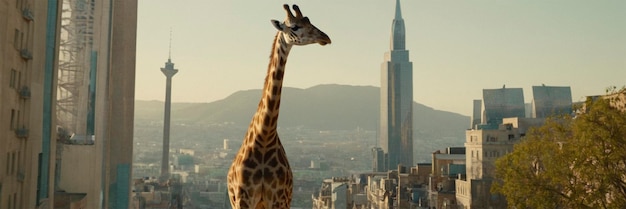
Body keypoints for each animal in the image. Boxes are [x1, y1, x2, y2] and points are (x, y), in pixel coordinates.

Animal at [225, 3, 332, 209]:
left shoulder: (278, 198)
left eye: (309, 21)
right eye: (294, 26)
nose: (325, 37)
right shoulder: (243, 198)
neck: (265, 136)